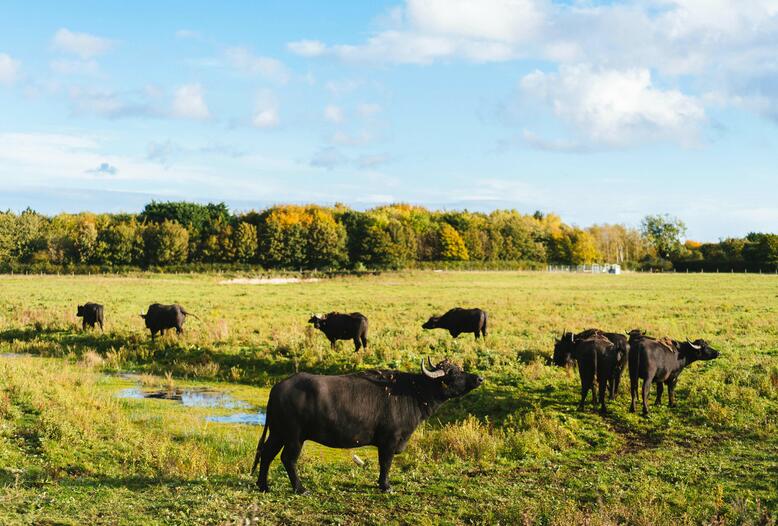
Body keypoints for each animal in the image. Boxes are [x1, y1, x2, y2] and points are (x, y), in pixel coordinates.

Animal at [250, 358, 478, 496]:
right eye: (453, 373)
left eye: (461, 369)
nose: (478, 378)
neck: (413, 393)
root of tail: (278, 387)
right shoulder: (389, 441)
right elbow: (385, 464)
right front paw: (385, 486)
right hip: (294, 437)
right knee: (287, 459)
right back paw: (300, 488)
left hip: (278, 433)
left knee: (266, 453)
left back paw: (264, 486)